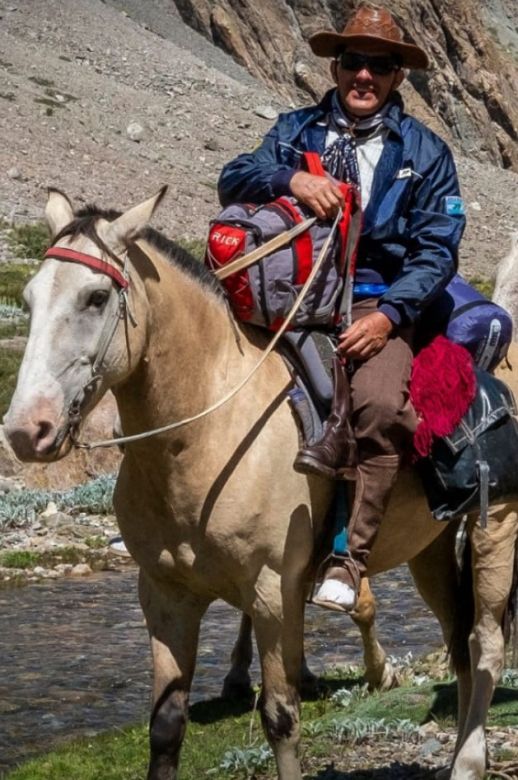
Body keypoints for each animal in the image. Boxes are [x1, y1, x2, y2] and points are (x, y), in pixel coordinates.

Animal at [5, 190, 518, 780]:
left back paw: (469, 762)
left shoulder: (273, 592)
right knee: (458, 643)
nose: (26, 430)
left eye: (95, 297)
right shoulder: (164, 595)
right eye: (29, 298)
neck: (205, 434)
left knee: (485, 644)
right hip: (429, 548)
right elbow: (166, 724)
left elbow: (280, 716)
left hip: (495, 528)